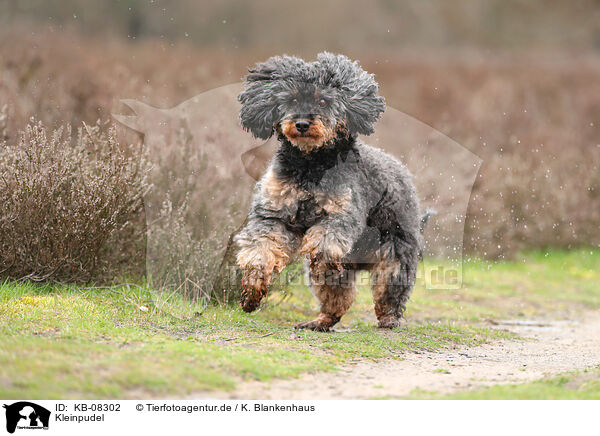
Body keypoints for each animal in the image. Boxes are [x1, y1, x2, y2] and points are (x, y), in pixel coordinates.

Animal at [232, 52, 428, 330]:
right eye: (292, 99)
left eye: (323, 101)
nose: (302, 123)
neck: (310, 163)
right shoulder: (273, 214)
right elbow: (260, 250)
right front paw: (251, 293)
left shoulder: (340, 215)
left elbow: (324, 245)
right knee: (337, 297)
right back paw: (320, 321)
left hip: (396, 252)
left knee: (389, 290)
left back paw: (389, 319)